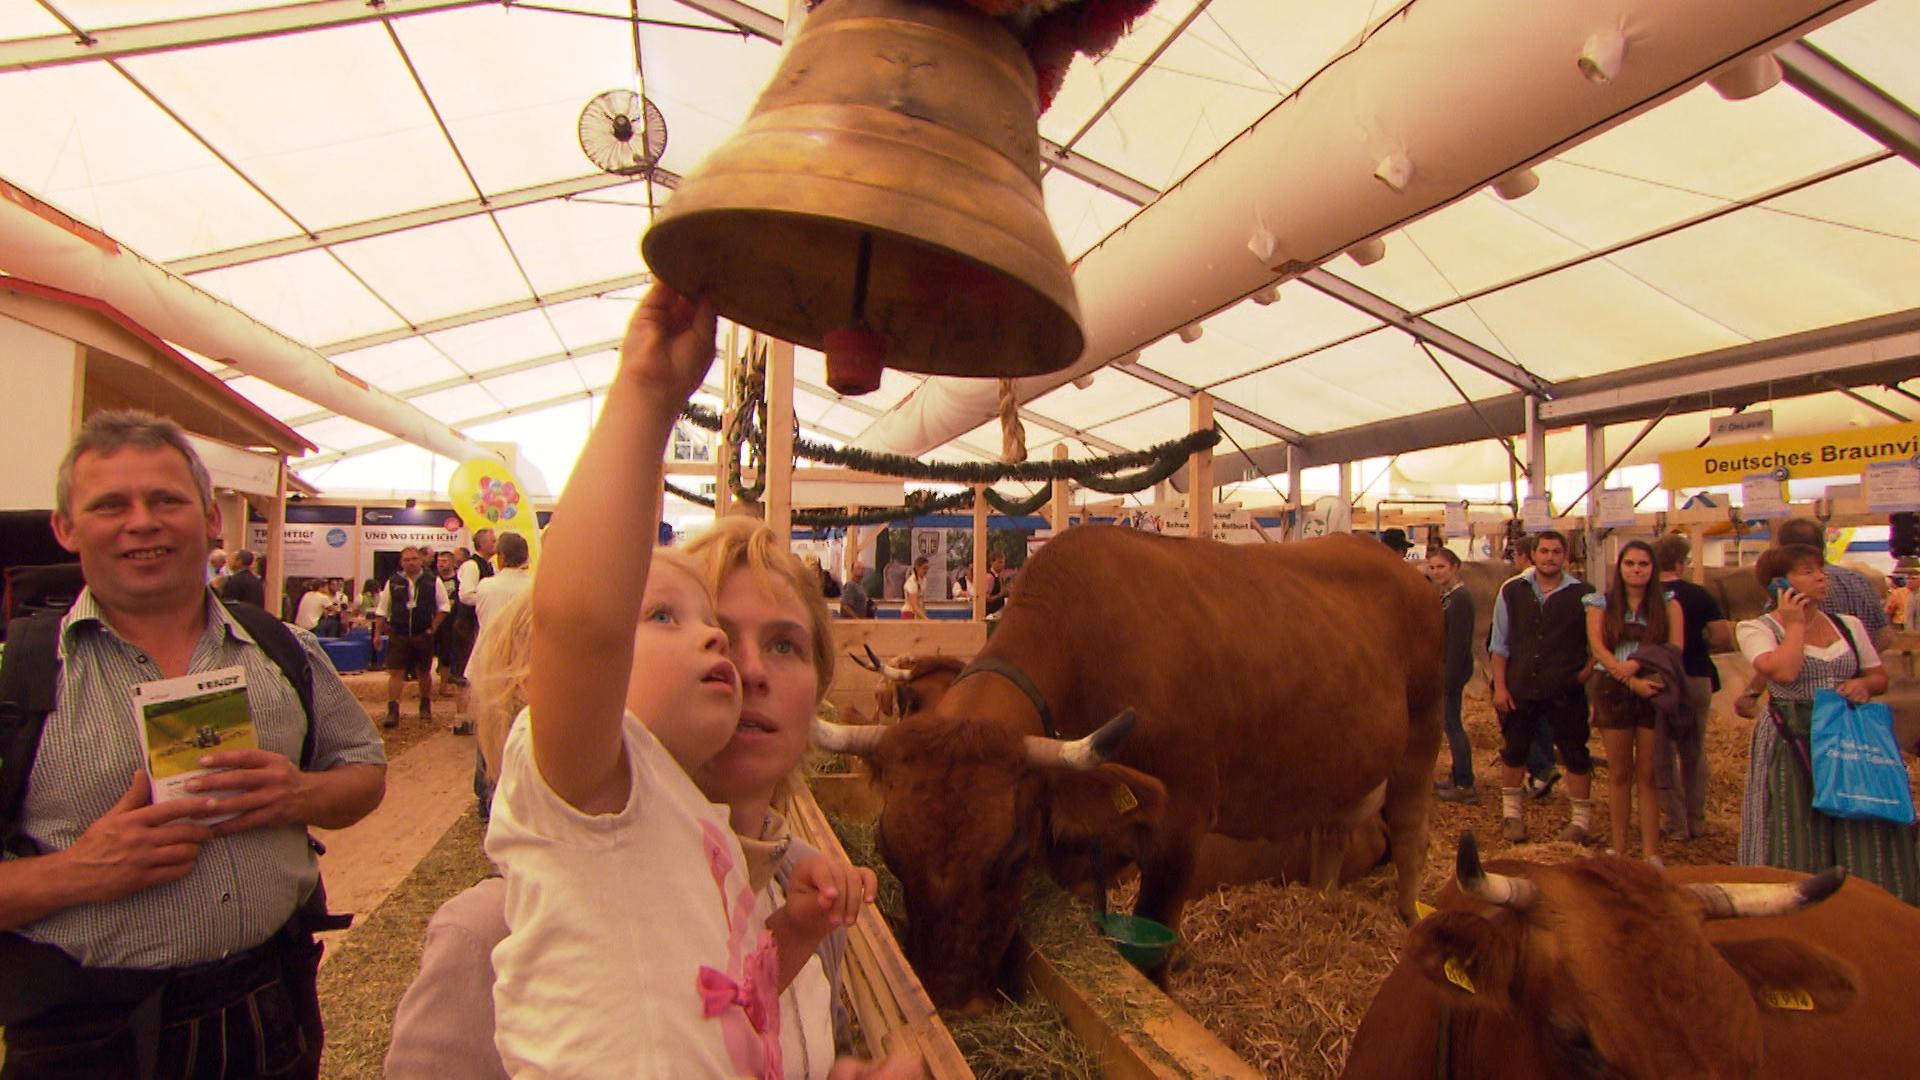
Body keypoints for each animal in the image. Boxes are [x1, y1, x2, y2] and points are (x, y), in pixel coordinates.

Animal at [814, 526, 1443, 1006]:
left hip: (1423, 732)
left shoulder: (1181, 824)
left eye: (1011, 859)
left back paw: (1409, 918)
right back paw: (1322, 902)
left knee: (1413, 831)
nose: (951, 1001)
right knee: (1333, 830)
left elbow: (1154, 951)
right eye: (890, 852)